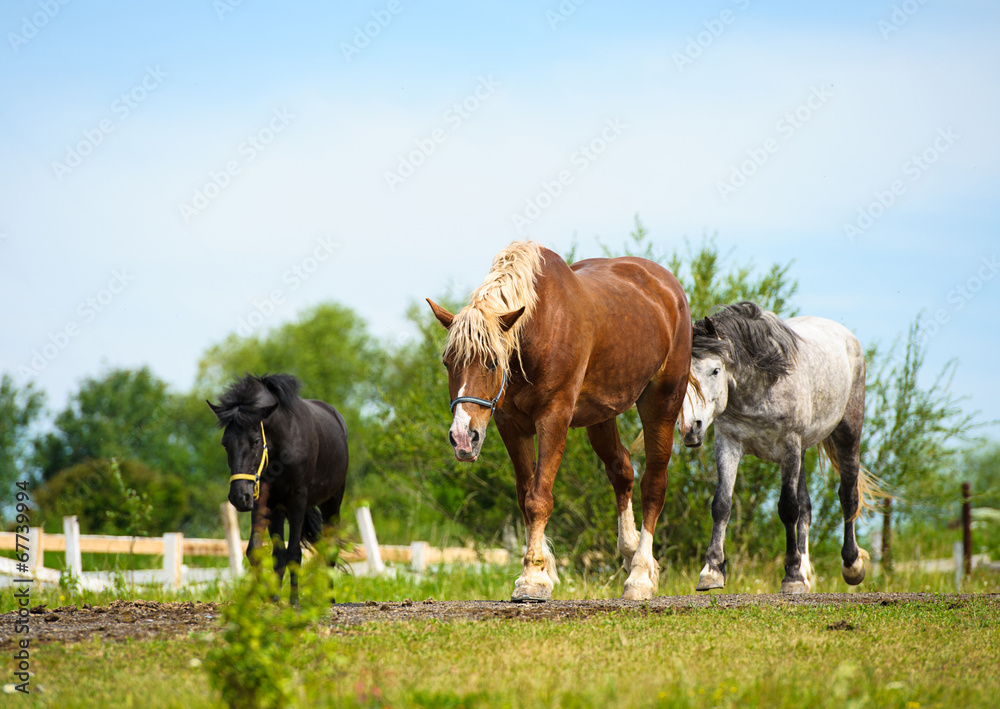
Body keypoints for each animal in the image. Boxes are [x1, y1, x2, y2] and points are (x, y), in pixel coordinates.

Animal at [207, 373, 348, 604]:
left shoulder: (297, 500)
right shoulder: (262, 501)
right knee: (280, 553)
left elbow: (294, 553)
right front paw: (270, 597)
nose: (238, 496)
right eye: (225, 443)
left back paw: (329, 598)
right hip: (279, 510)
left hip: (332, 502)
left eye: (256, 441)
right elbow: (257, 552)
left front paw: (294, 601)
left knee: (330, 548)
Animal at [427, 241, 691, 601]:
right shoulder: (511, 425)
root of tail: (669, 287)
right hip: (601, 415)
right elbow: (525, 495)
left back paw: (639, 576)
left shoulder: (554, 418)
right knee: (622, 470)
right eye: (447, 362)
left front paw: (532, 578)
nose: (463, 438)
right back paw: (632, 554)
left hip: (661, 403)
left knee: (654, 484)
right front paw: (543, 571)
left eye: (492, 361)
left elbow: (539, 498)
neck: (539, 329)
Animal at [677, 301, 880, 593]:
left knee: (847, 495)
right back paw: (806, 573)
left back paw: (851, 565)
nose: (690, 428)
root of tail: (847, 337)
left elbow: (788, 508)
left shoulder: (789, 446)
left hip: (847, 433)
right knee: (807, 507)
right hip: (804, 450)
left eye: (715, 370)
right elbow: (722, 504)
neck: (761, 385)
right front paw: (712, 570)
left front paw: (791, 576)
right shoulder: (728, 443)